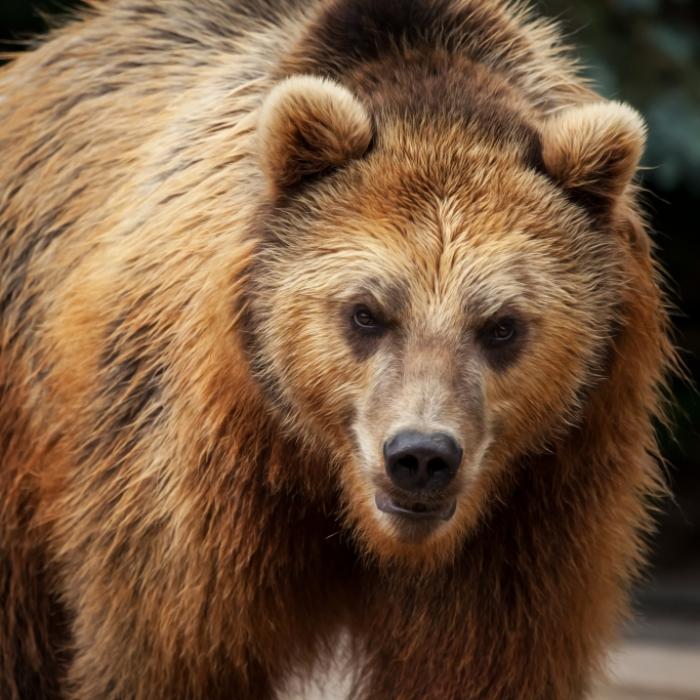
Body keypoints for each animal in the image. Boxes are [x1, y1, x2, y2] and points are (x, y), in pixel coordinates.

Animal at [0, 0, 675, 698]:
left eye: (501, 325)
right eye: (366, 313)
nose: (421, 456)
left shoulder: (544, 502)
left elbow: (486, 662)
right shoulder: (197, 474)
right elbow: (171, 650)